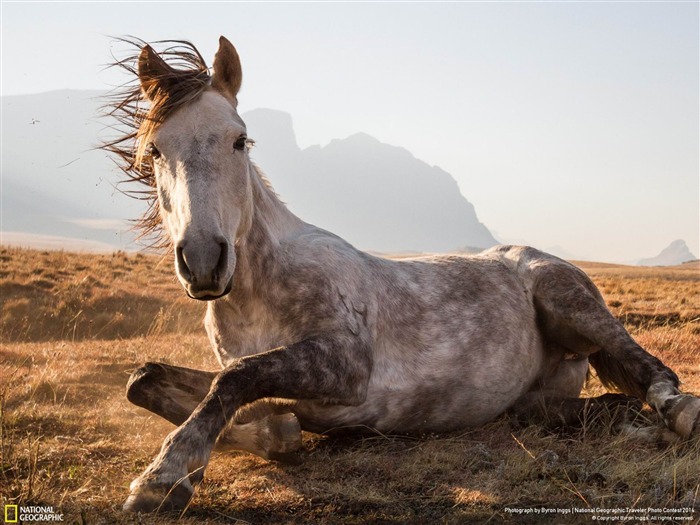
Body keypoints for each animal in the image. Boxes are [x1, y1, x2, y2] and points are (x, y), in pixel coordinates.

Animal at [102, 36, 700, 512]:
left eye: (239, 140)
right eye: (155, 149)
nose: (204, 259)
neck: (258, 291)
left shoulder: (345, 365)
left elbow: (236, 378)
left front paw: (164, 476)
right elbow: (148, 379)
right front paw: (271, 432)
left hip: (569, 300)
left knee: (651, 370)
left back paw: (677, 412)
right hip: (534, 398)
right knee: (572, 408)